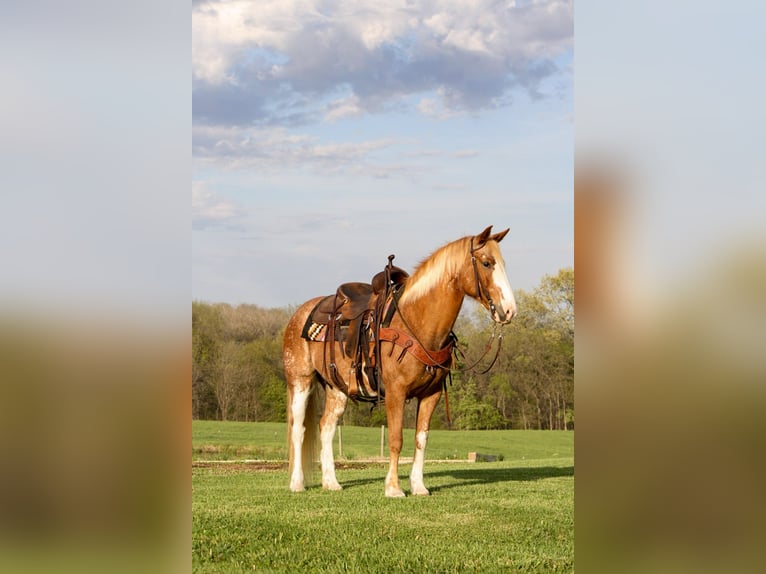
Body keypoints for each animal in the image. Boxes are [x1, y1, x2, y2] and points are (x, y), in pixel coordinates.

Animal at [282, 225, 517, 497]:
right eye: (487, 263)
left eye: (503, 263)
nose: (509, 310)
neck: (416, 322)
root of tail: (300, 313)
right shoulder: (396, 391)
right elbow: (395, 440)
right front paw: (393, 488)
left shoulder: (432, 394)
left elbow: (420, 439)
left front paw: (418, 486)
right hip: (300, 380)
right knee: (298, 429)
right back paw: (297, 483)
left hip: (336, 388)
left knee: (326, 427)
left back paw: (331, 483)